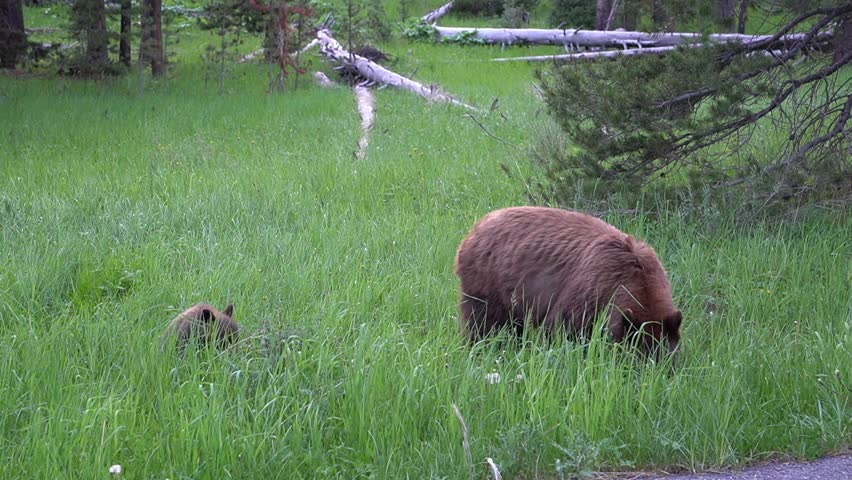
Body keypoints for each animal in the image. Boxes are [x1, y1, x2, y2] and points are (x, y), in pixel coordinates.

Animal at [454, 207, 682, 355]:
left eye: (668, 359)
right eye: (639, 356)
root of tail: (476, 227)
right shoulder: (589, 291)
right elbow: (561, 328)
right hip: (487, 281)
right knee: (484, 322)